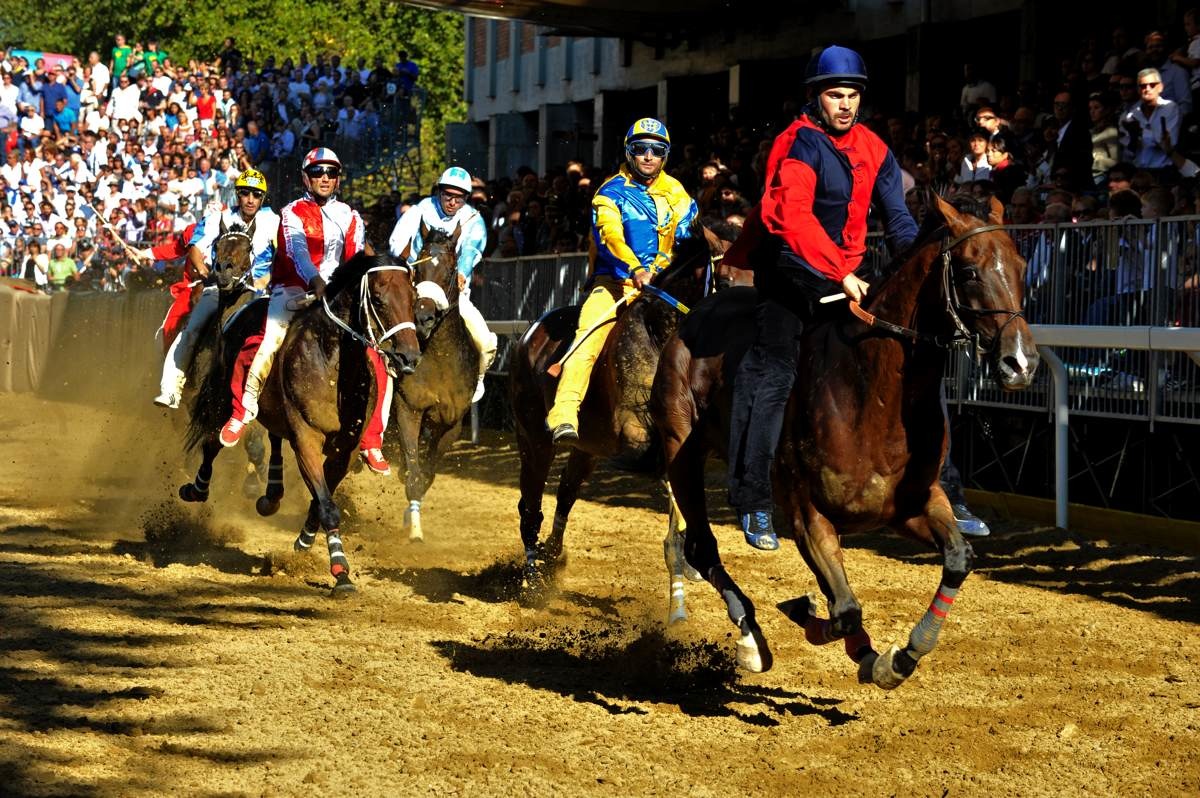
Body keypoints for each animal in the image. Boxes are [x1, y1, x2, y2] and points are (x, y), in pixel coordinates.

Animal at [177, 253, 422, 590]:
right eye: (378, 298)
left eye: (413, 297)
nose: (410, 357)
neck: (331, 364)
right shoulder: (306, 438)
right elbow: (327, 505)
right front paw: (340, 571)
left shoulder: (344, 449)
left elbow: (321, 500)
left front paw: (305, 541)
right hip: (225, 397)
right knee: (214, 440)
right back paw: (199, 487)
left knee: (274, 438)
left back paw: (271, 495)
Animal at [508, 224, 729, 609]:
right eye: (729, 278)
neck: (661, 337)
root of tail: (528, 336)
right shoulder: (634, 435)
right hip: (533, 437)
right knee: (530, 508)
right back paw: (533, 581)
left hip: (587, 448)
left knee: (565, 495)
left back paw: (552, 558)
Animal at [652, 195, 1036, 686]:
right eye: (969, 271)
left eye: (1022, 266)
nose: (1020, 362)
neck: (870, 393)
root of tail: (699, 311)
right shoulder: (807, 515)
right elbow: (846, 609)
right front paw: (804, 612)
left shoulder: (910, 505)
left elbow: (957, 559)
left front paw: (897, 656)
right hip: (681, 449)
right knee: (701, 547)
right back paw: (751, 639)